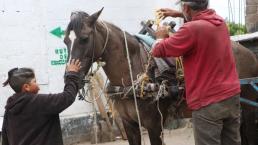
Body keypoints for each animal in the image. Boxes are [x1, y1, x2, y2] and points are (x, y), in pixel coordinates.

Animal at [64, 9, 258, 145]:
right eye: (66, 41)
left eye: (84, 38)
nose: (70, 76)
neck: (131, 77)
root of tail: (249, 53)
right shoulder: (129, 125)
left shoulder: (154, 125)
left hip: (248, 108)